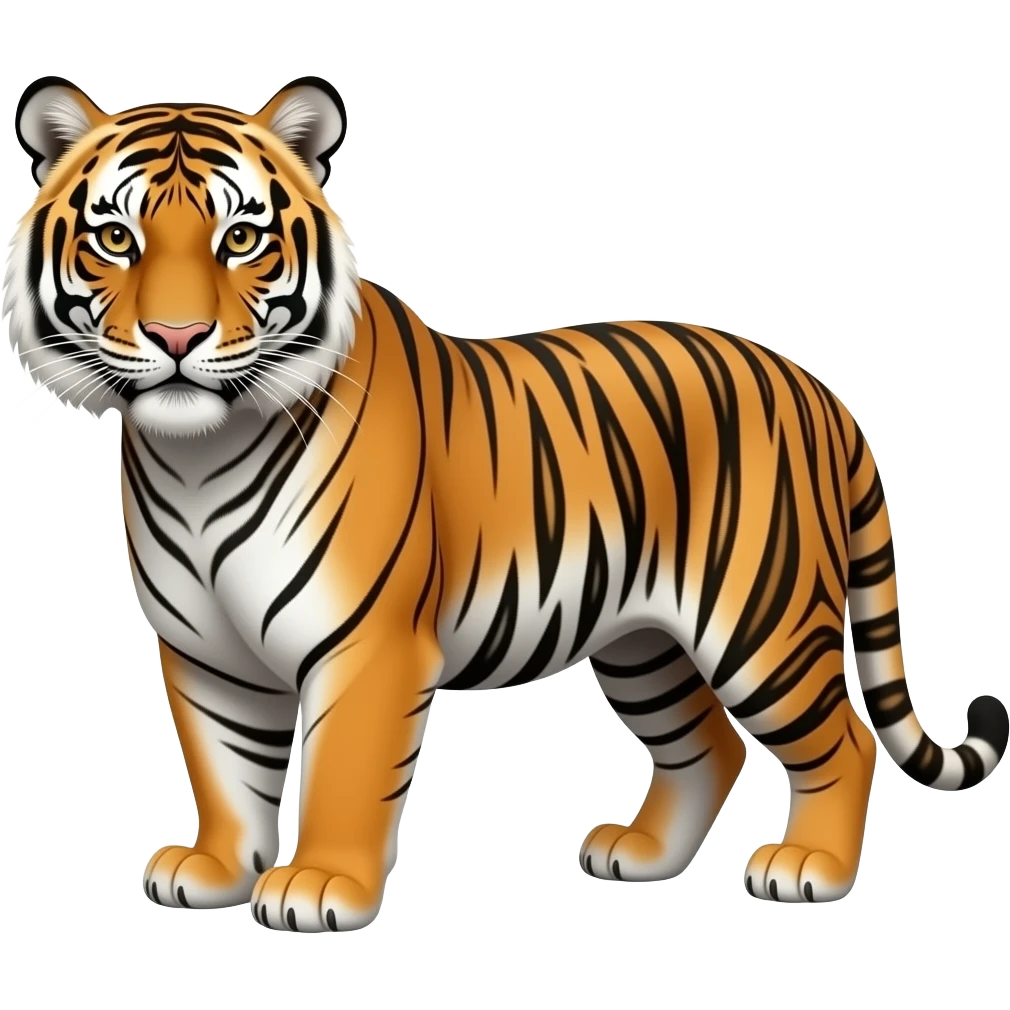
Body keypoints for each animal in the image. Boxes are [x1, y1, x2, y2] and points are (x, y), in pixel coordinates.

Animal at [5, 74, 1007, 934]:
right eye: (116, 239)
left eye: (241, 241)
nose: (177, 336)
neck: (197, 458)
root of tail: (817, 388)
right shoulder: (206, 651)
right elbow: (224, 768)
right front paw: (215, 868)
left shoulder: (368, 646)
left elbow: (341, 773)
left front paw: (319, 886)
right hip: (642, 642)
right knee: (708, 746)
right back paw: (642, 856)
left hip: (762, 621)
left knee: (844, 740)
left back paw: (809, 869)